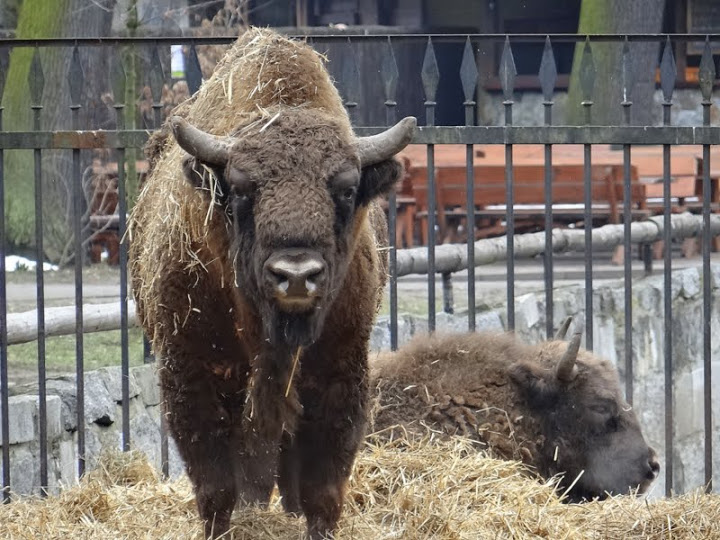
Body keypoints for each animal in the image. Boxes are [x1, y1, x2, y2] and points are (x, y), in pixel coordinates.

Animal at [129, 29, 415, 539]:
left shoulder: (340, 372)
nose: (296, 275)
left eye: (345, 190)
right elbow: (216, 485)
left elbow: (323, 486)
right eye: (243, 189)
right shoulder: (191, 370)